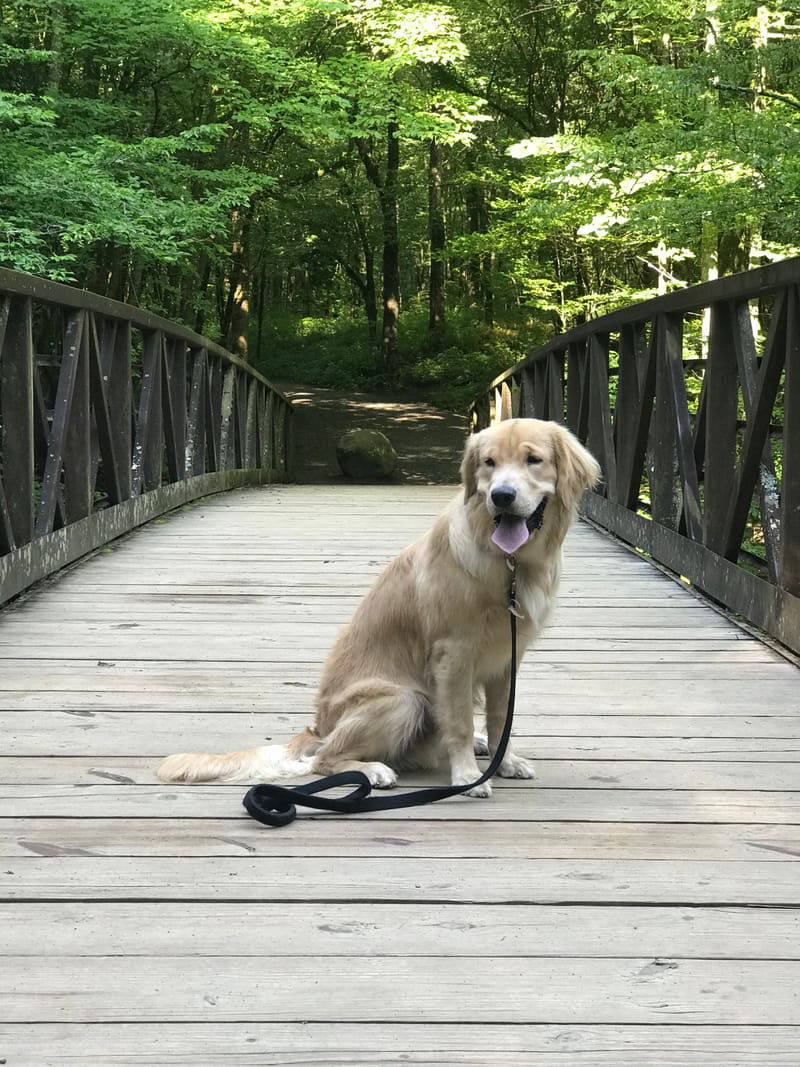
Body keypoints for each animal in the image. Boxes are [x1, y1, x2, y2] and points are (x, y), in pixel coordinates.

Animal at [156, 420, 597, 798]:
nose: (500, 496)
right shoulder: (453, 653)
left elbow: (499, 716)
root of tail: (318, 726)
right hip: (404, 699)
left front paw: (506, 760)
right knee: (324, 758)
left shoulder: (508, 656)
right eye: (488, 463)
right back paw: (373, 770)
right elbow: (458, 721)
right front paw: (468, 776)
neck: (510, 564)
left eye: (532, 459)